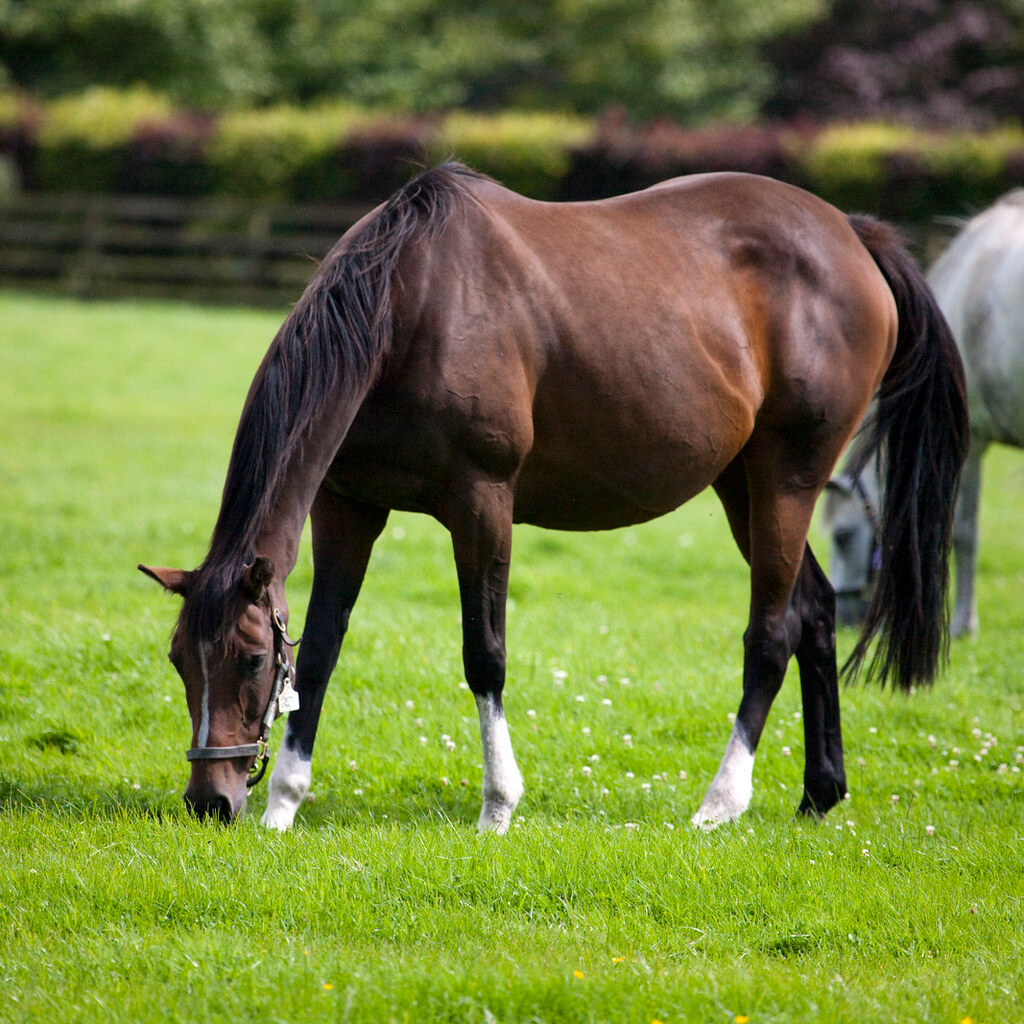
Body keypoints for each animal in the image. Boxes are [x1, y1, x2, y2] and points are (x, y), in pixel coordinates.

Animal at [139, 162, 967, 833]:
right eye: (180, 659)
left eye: (249, 659)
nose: (210, 801)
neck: (410, 309)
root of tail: (851, 234)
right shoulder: (347, 509)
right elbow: (319, 652)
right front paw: (284, 804)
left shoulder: (482, 505)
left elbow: (485, 655)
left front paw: (498, 806)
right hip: (743, 483)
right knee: (816, 612)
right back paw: (819, 792)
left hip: (788, 476)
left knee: (771, 632)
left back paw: (721, 803)